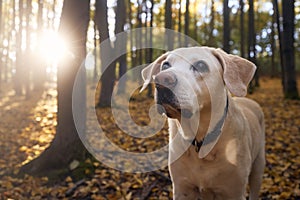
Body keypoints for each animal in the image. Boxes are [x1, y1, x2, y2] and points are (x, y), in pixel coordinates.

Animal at [141, 47, 264, 200]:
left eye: (201, 65)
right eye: (165, 65)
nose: (161, 80)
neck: (200, 140)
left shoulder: (234, 191)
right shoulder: (182, 188)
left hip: (258, 166)